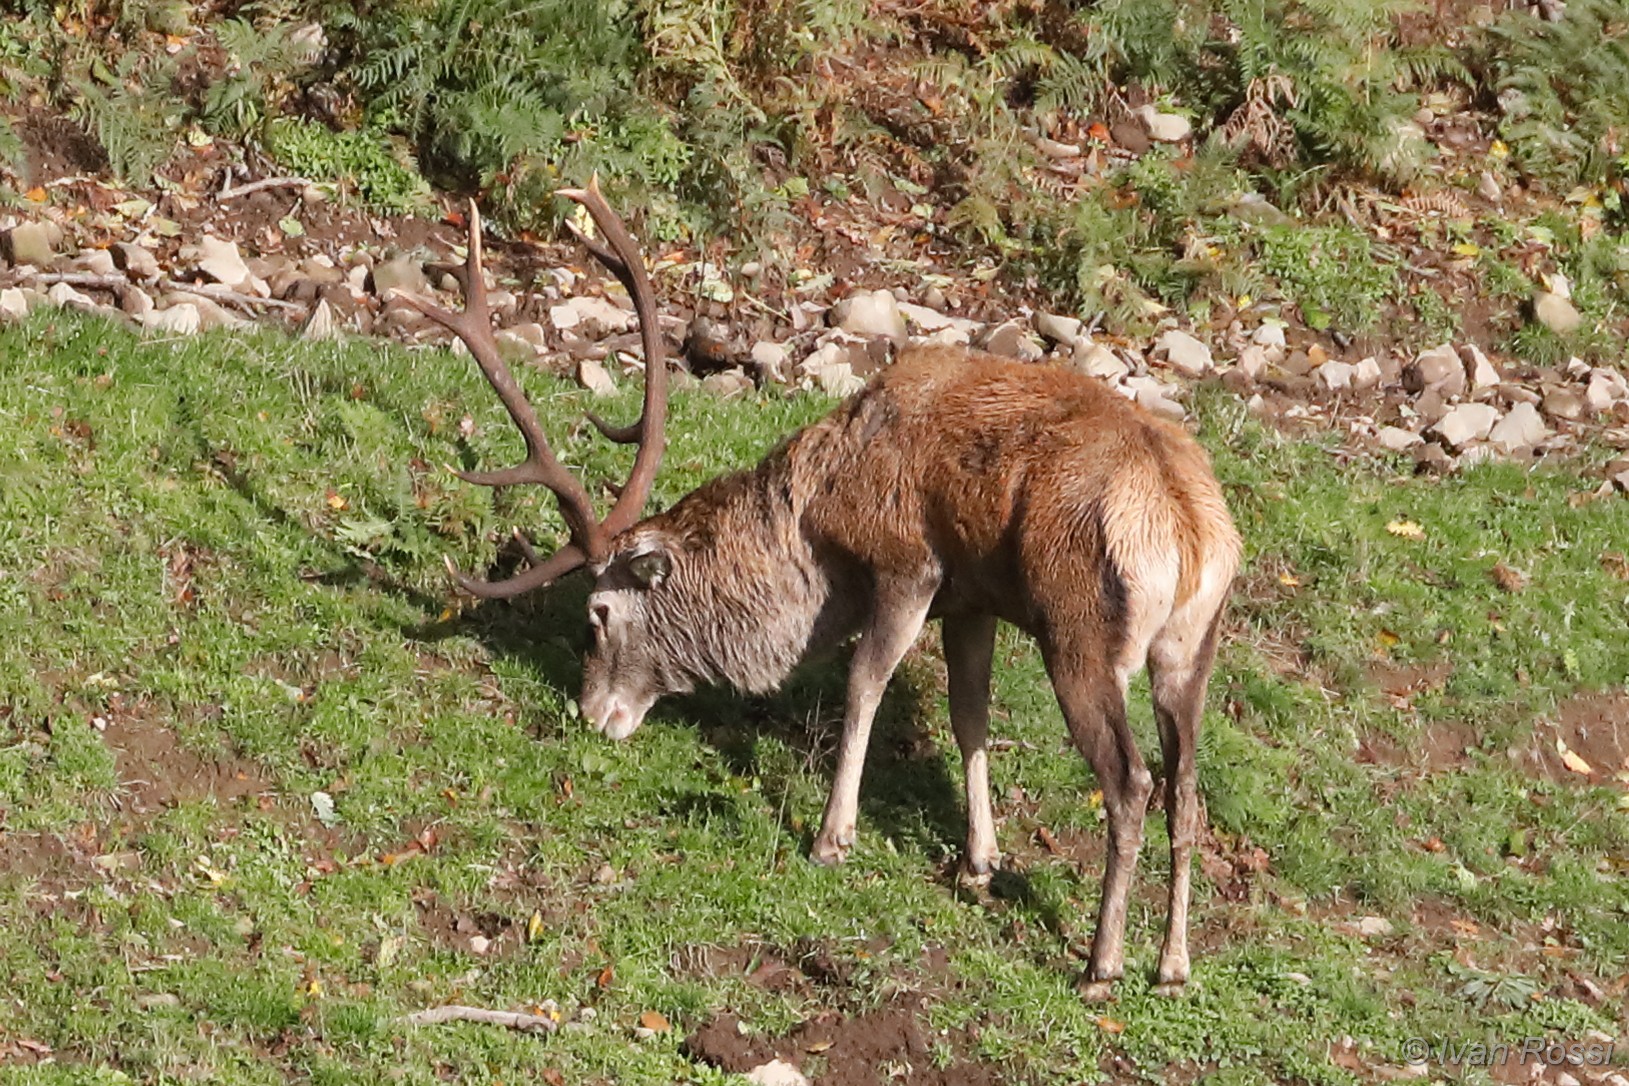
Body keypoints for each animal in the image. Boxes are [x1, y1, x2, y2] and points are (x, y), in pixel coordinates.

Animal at [397, 181, 1241, 1000]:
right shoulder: (972, 598)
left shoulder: (909, 563)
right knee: (1187, 789)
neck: (816, 525)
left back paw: (1101, 965)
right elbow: (968, 716)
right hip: (1190, 647)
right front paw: (978, 861)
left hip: (1080, 630)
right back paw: (1172, 965)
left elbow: (864, 681)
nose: (591, 713)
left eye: (598, 614)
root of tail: (1192, 531)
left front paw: (832, 837)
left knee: (1131, 782)